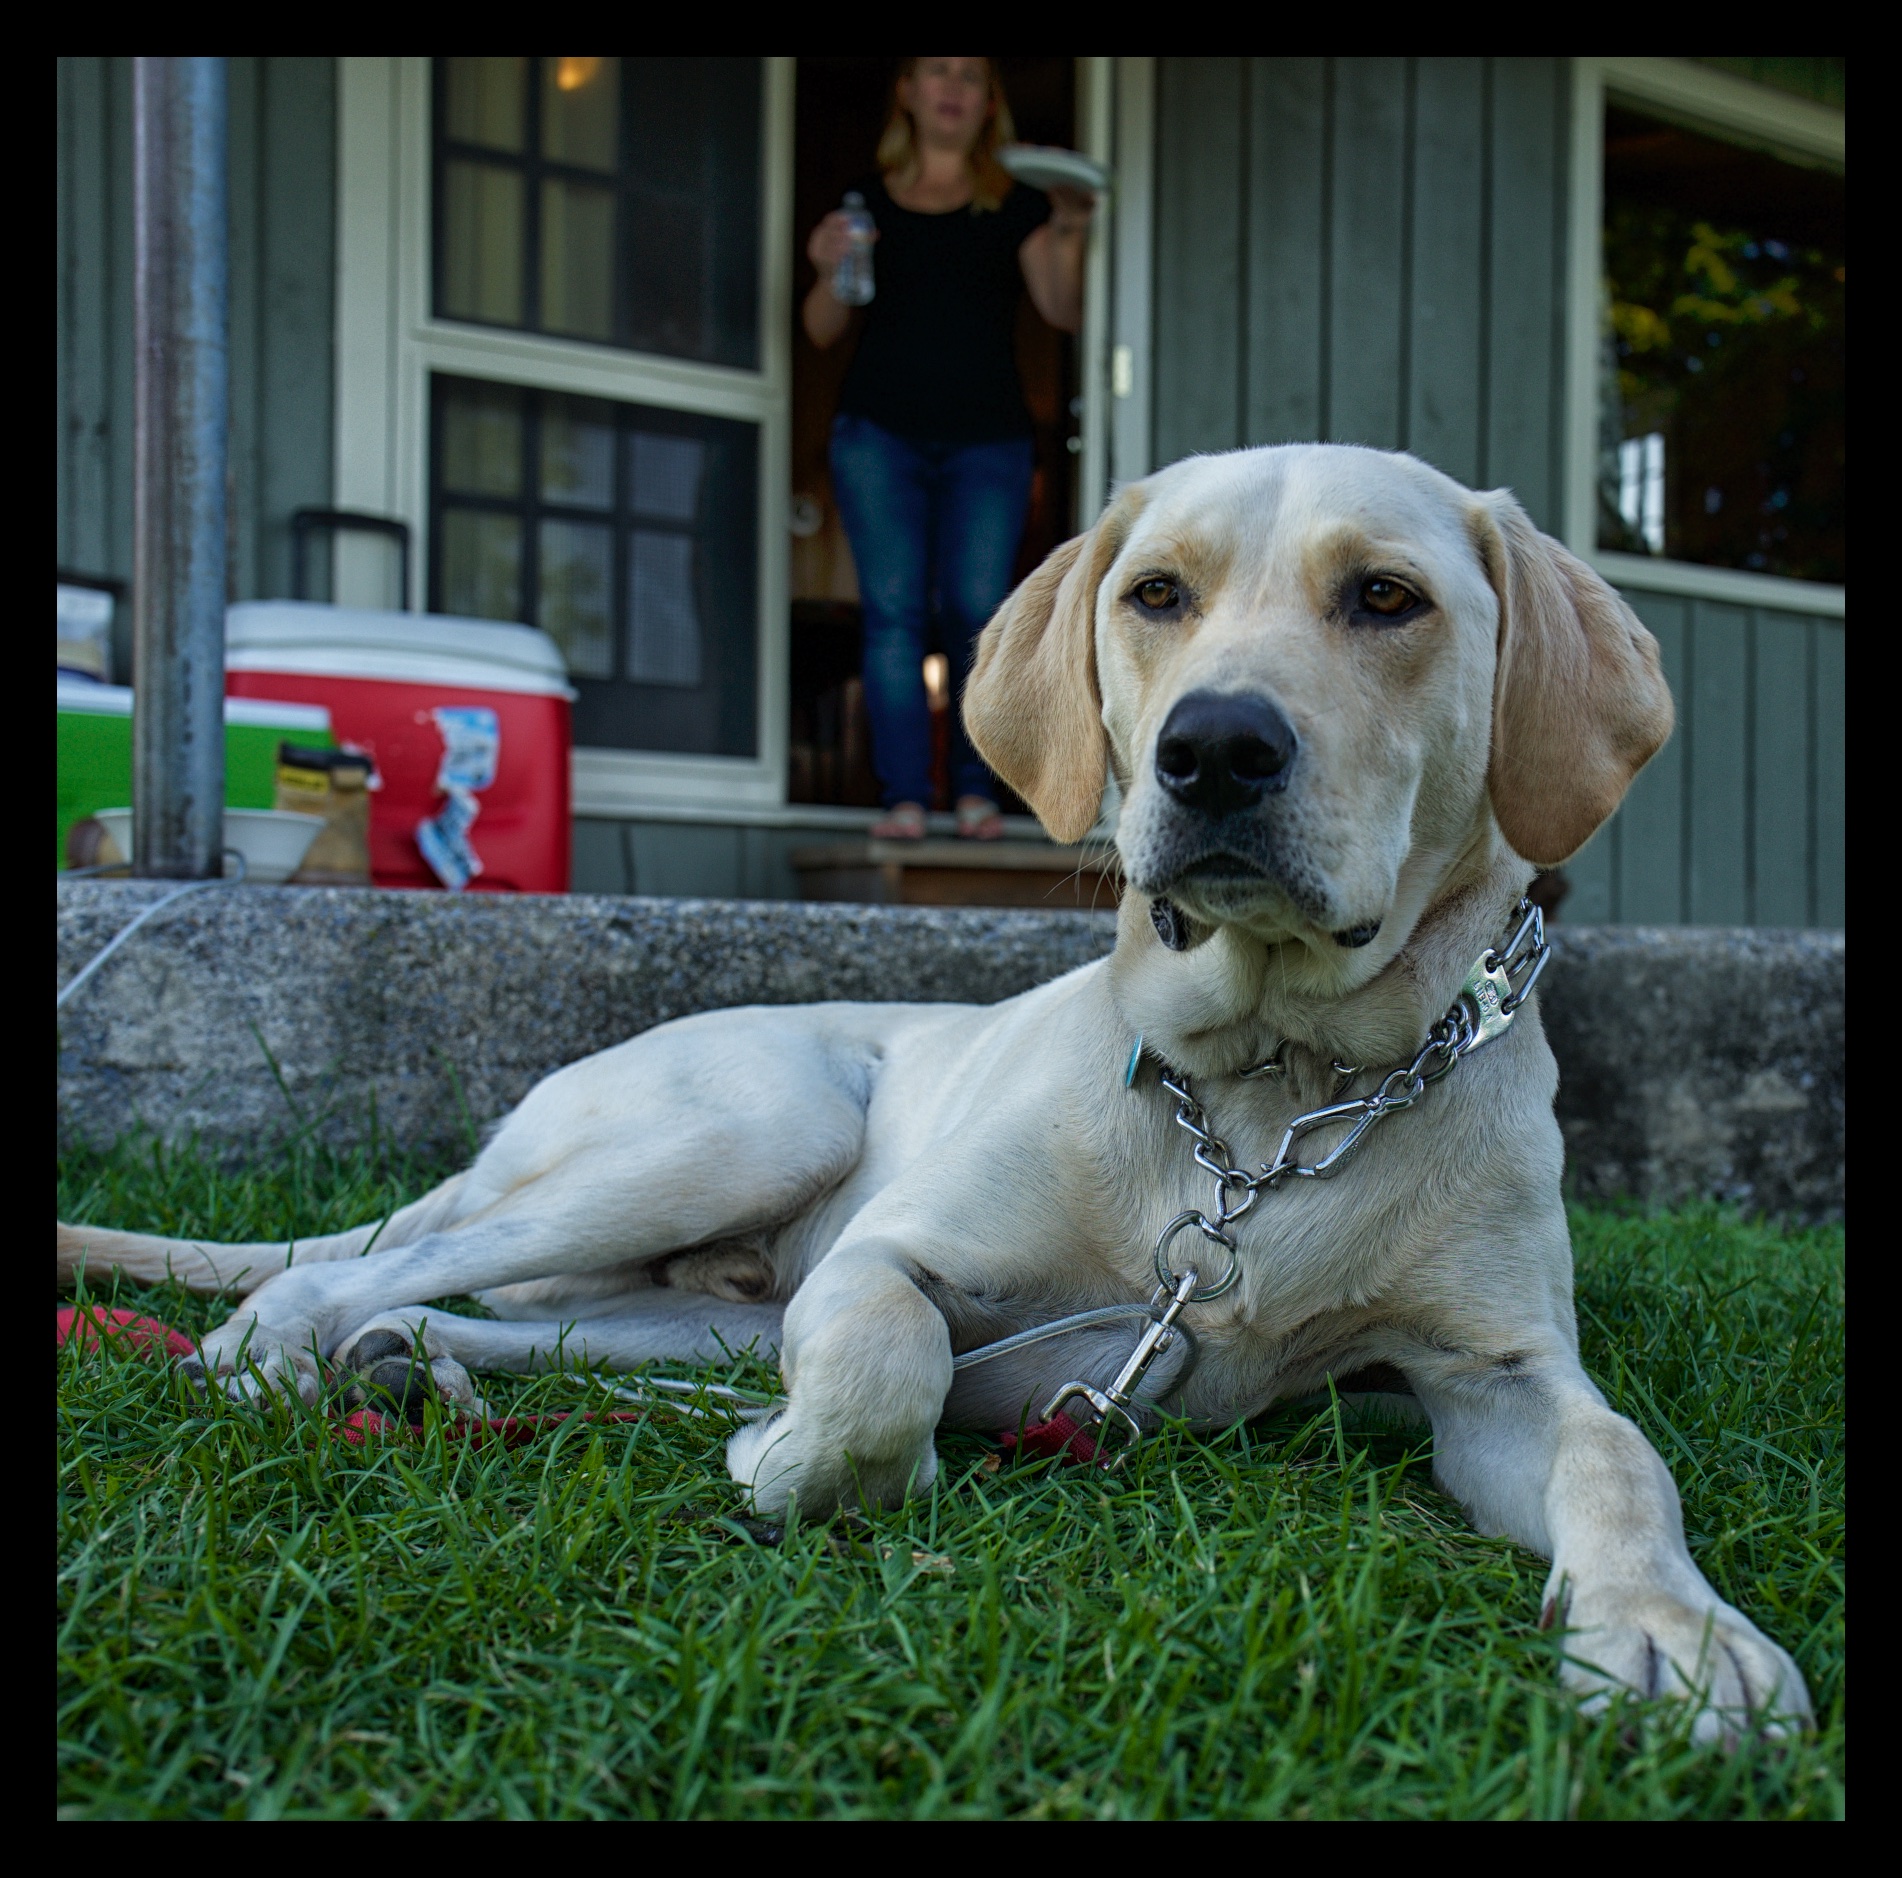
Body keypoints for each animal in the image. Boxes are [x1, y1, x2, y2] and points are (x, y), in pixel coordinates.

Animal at [59, 444, 1810, 1741]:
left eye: (1386, 597)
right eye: (1155, 594)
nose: (1213, 749)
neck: (1262, 1095)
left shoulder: (1498, 1372)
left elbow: (1618, 1459)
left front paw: (1674, 1631)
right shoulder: (884, 1258)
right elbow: (882, 1362)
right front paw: (809, 1468)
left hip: (684, 1308)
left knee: (461, 1307)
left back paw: (412, 1371)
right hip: (744, 1128)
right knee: (349, 1269)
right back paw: (273, 1360)